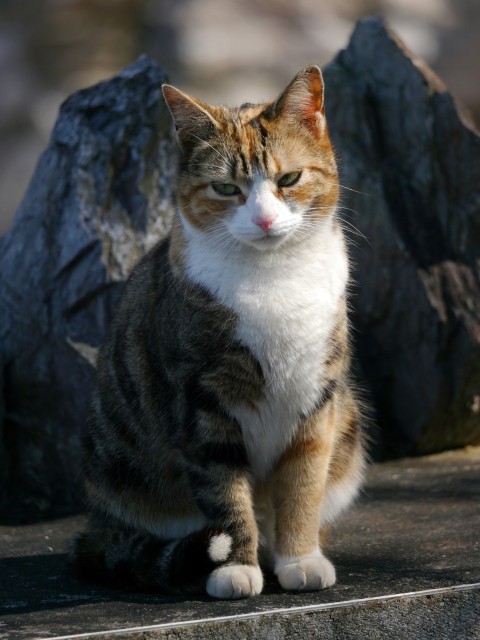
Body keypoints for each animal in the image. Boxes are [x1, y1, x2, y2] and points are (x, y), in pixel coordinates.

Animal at [70, 66, 364, 600]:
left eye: (289, 179)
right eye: (226, 189)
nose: (264, 219)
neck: (272, 275)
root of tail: (96, 525)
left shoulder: (317, 399)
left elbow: (303, 486)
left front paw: (300, 558)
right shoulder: (200, 402)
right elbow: (226, 494)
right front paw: (234, 567)